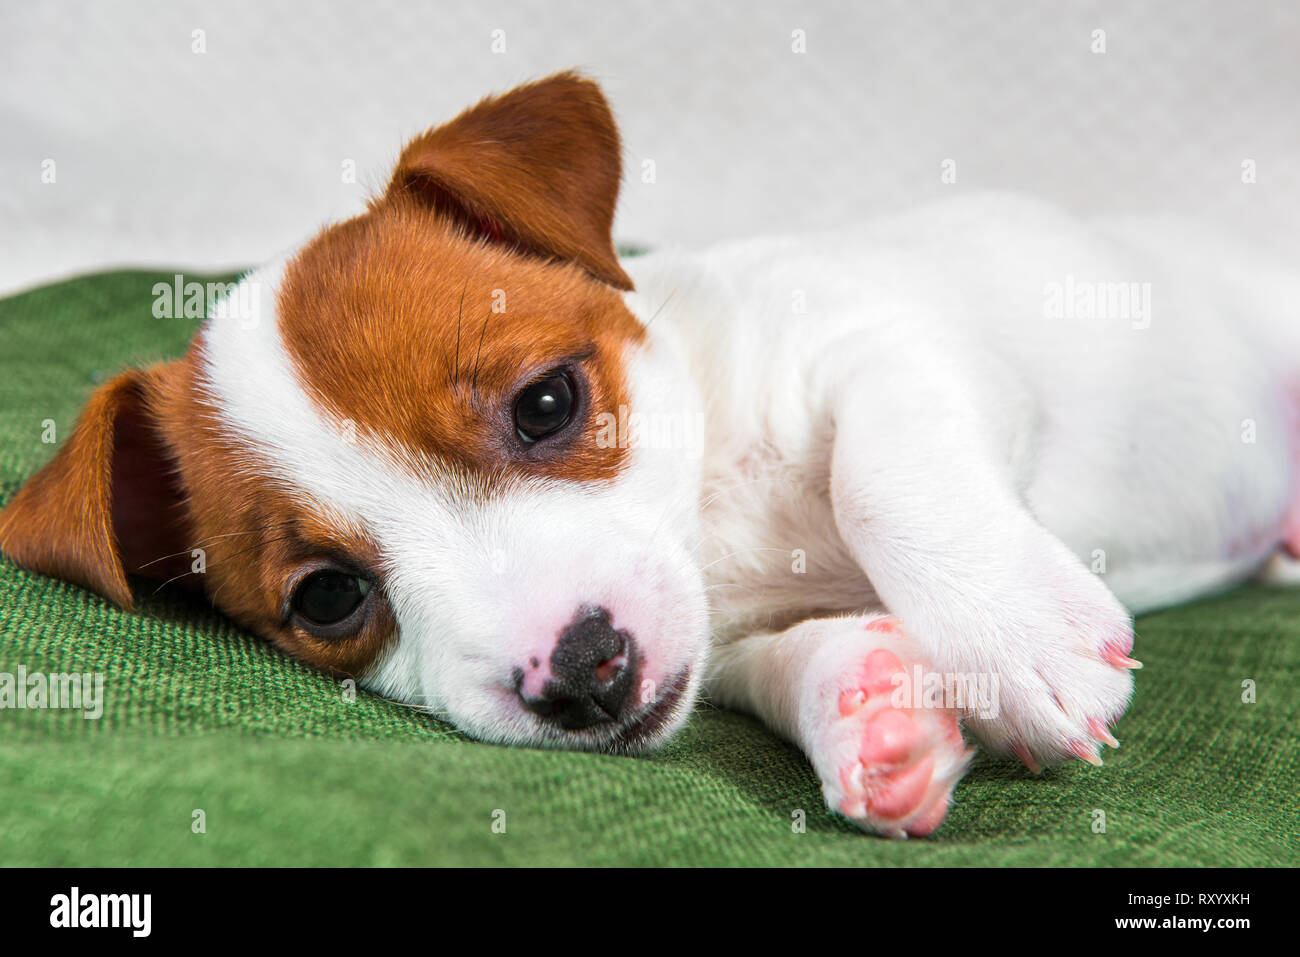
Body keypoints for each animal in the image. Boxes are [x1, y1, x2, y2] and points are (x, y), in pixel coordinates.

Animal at [2, 72, 1300, 837]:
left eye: (545, 404)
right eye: (328, 599)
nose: (582, 677)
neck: (718, 519)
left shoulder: (893, 351)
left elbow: (880, 482)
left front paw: (1015, 641)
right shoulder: (723, 645)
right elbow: (777, 664)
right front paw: (867, 712)